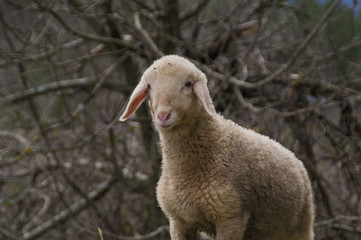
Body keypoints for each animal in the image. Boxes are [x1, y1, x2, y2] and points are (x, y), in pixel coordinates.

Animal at [119, 54, 314, 240]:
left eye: (188, 84)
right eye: (149, 86)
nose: (163, 115)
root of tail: (294, 158)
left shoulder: (230, 218)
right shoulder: (178, 221)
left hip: (301, 227)